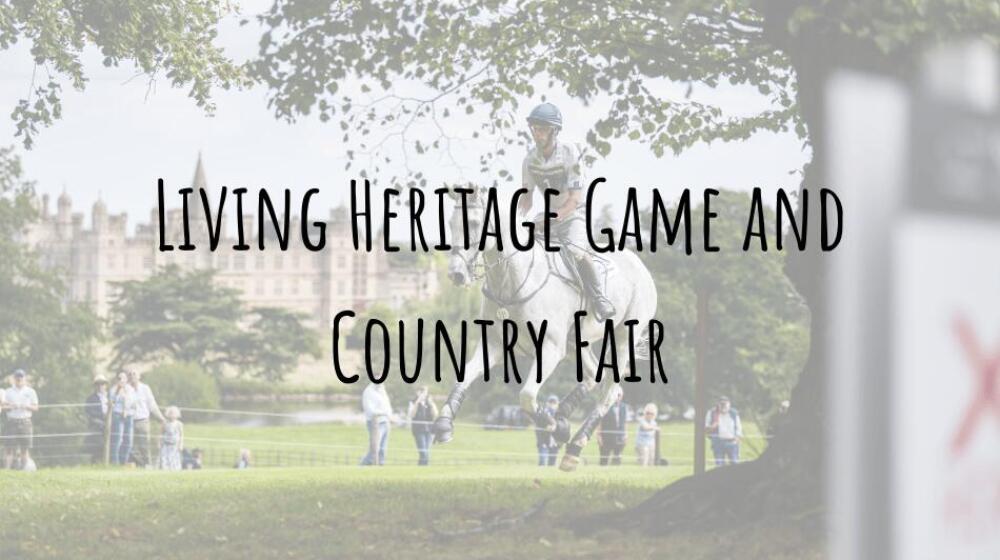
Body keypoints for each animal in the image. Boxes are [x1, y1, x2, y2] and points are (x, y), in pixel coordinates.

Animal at [432, 186, 656, 470]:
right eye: (450, 224)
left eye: (472, 223)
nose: (456, 274)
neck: (512, 280)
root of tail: (642, 267)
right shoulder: (494, 345)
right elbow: (463, 378)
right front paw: (443, 425)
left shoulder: (549, 348)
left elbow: (526, 395)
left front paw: (555, 428)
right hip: (575, 341)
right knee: (593, 374)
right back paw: (563, 413)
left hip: (623, 336)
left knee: (609, 391)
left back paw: (574, 445)